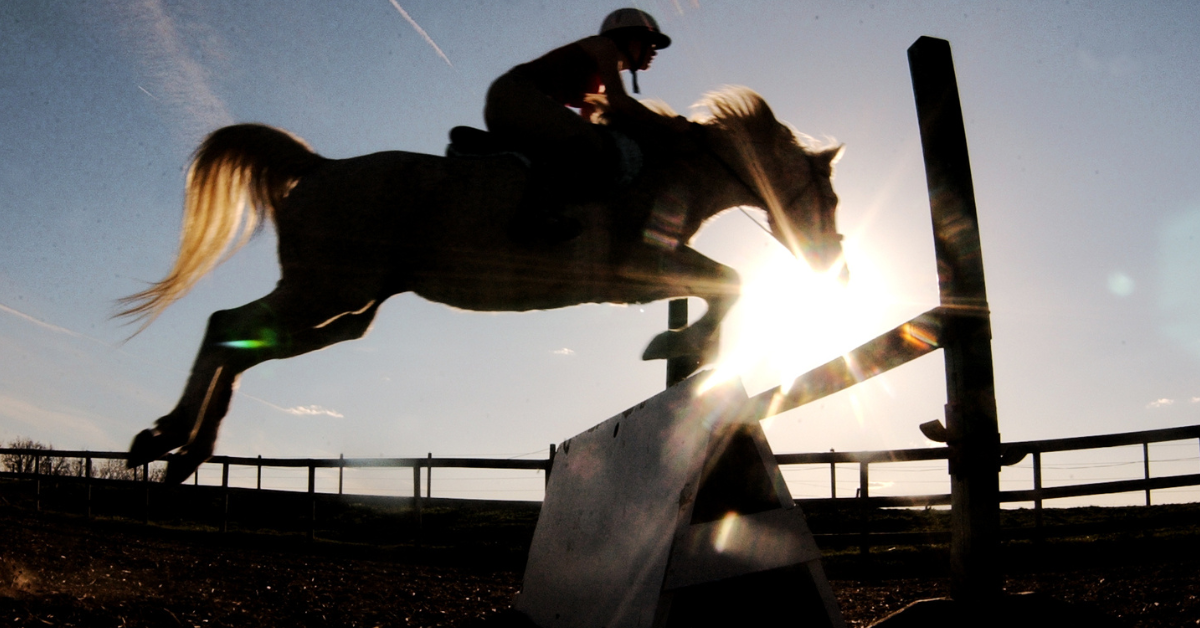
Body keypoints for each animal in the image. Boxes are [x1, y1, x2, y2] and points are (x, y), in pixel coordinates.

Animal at [119, 86, 846, 484]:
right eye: (832, 198)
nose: (836, 267)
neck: (676, 168)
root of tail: (320, 167)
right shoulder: (639, 269)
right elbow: (733, 281)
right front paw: (673, 347)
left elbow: (725, 285)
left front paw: (686, 349)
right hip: (324, 289)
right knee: (226, 327)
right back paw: (169, 440)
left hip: (347, 308)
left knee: (244, 345)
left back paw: (181, 449)